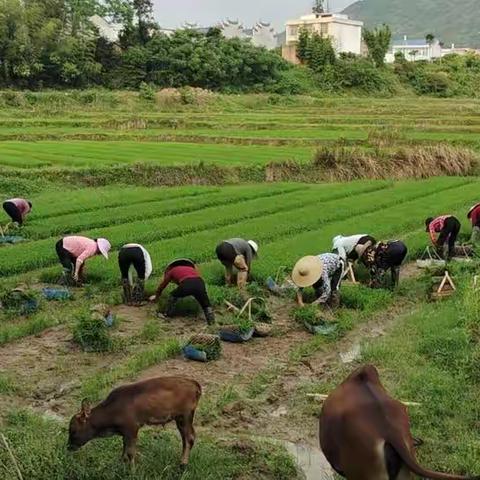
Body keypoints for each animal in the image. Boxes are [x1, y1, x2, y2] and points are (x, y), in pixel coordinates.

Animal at [67, 376, 201, 466]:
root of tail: (194, 383)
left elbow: (130, 452)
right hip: (180, 419)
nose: (69, 447)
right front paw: (121, 464)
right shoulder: (125, 433)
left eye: (73, 430)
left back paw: (183, 464)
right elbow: (124, 450)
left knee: (189, 438)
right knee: (186, 438)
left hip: (185, 416)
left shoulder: (132, 429)